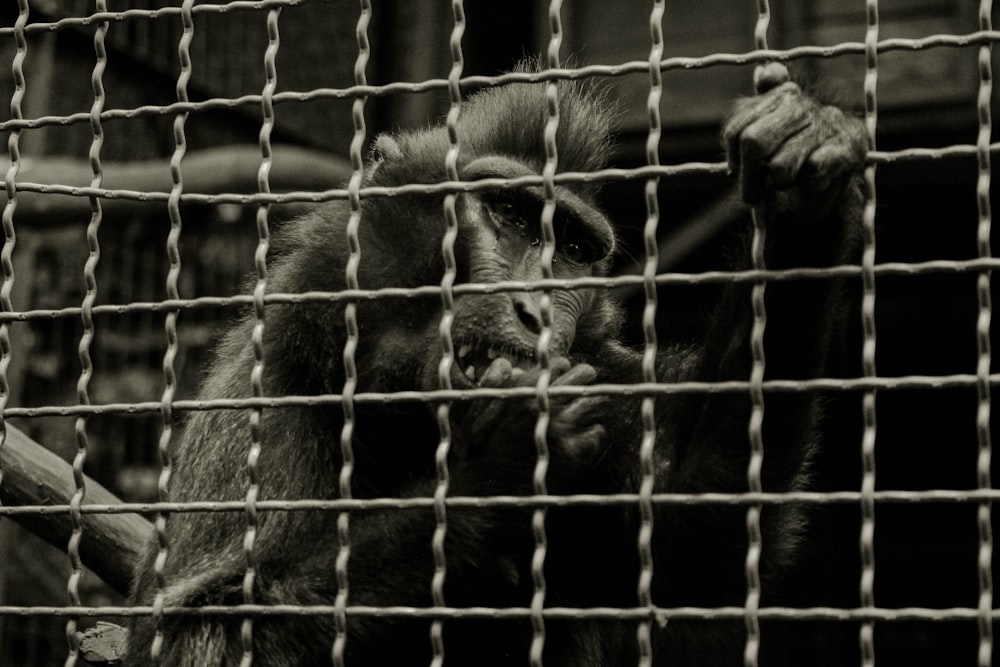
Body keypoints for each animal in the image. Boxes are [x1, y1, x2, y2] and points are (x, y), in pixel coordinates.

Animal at [125, 64, 868, 667]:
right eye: (507, 212)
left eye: (573, 249)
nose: (537, 311)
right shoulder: (272, 382)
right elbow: (199, 635)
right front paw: (498, 465)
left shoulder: (603, 373)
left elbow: (702, 520)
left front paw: (801, 182)